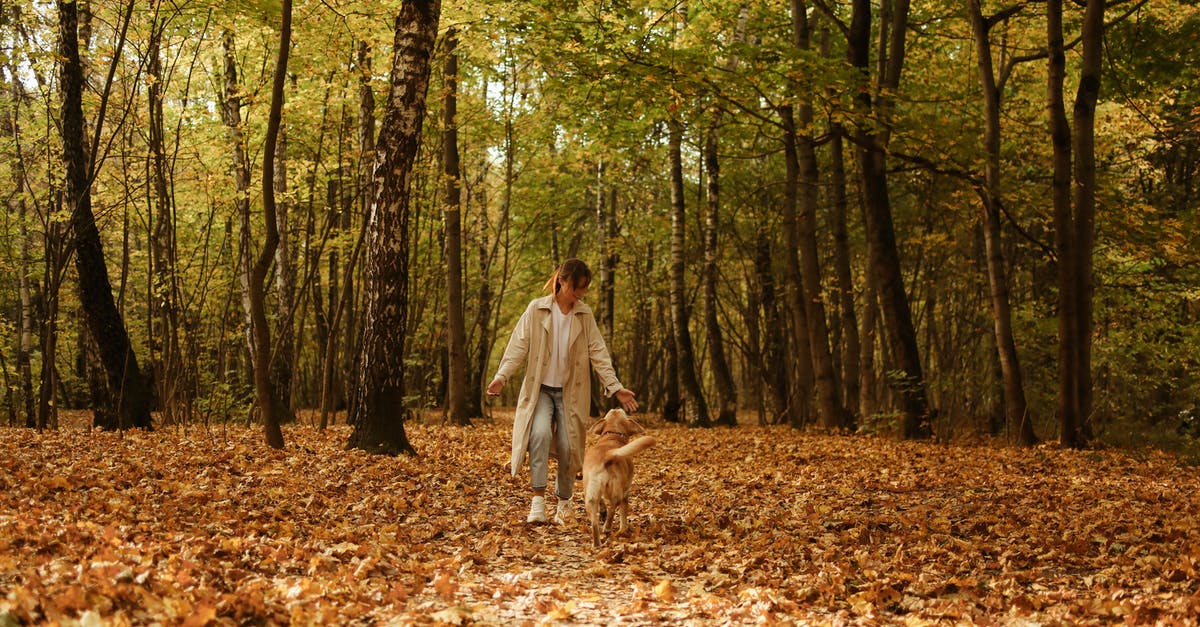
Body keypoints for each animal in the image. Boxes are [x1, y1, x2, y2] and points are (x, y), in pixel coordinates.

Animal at [580, 408, 657, 542]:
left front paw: (603, 511)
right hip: (618, 492)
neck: (613, 435)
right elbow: (623, 514)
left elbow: (602, 502)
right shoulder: (626, 493)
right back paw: (607, 527)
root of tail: (607, 455)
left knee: (595, 522)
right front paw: (623, 528)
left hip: (590, 496)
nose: (616, 408)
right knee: (613, 507)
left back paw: (597, 542)